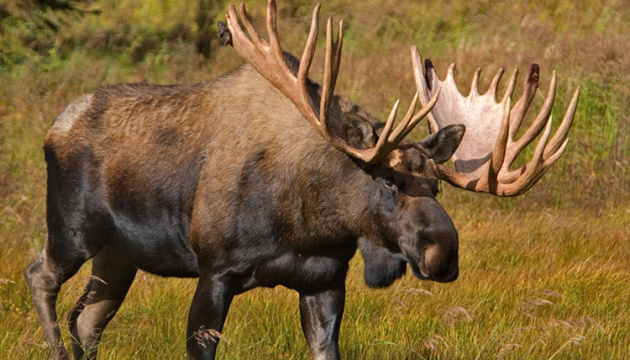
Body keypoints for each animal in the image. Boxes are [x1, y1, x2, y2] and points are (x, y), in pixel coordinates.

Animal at [25, 0, 584, 360]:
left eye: (438, 186)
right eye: (388, 181)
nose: (443, 253)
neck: (309, 221)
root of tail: (54, 126)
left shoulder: (324, 281)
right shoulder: (216, 270)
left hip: (118, 255)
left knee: (87, 320)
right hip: (72, 231)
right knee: (40, 277)